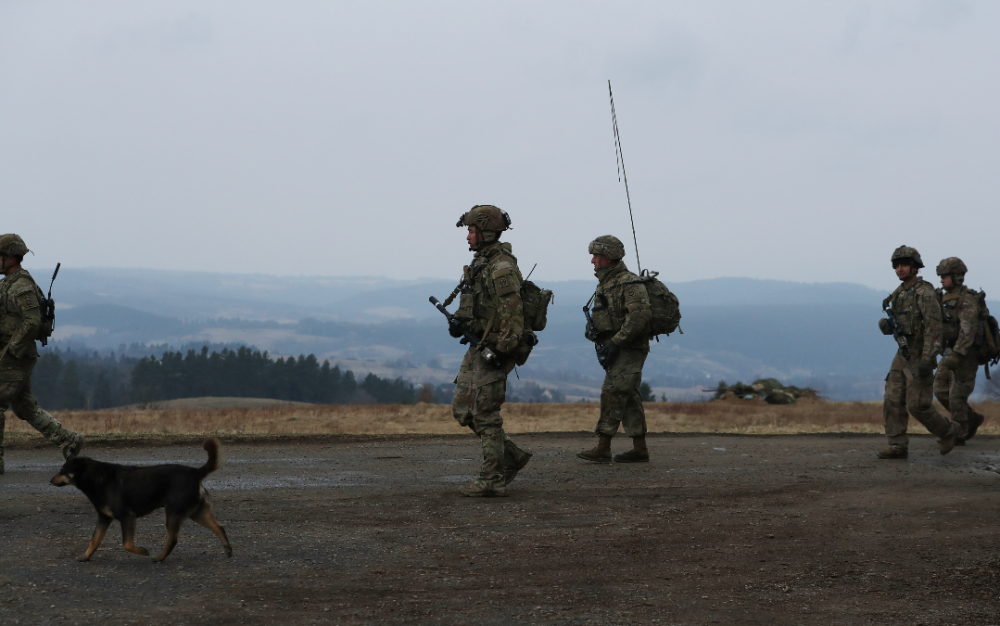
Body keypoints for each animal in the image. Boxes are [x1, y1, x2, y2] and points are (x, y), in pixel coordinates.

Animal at [50, 434, 232, 560]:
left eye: (62, 470)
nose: (50, 481)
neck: (95, 477)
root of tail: (196, 472)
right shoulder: (103, 518)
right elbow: (94, 540)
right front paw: (86, 556)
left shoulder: (127, 517)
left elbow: (127, 544)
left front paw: (143, 551)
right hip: (197, 512)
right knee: (219, 527)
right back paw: (228, 550)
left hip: (172, 512)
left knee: (173, 539)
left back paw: (159, 558)